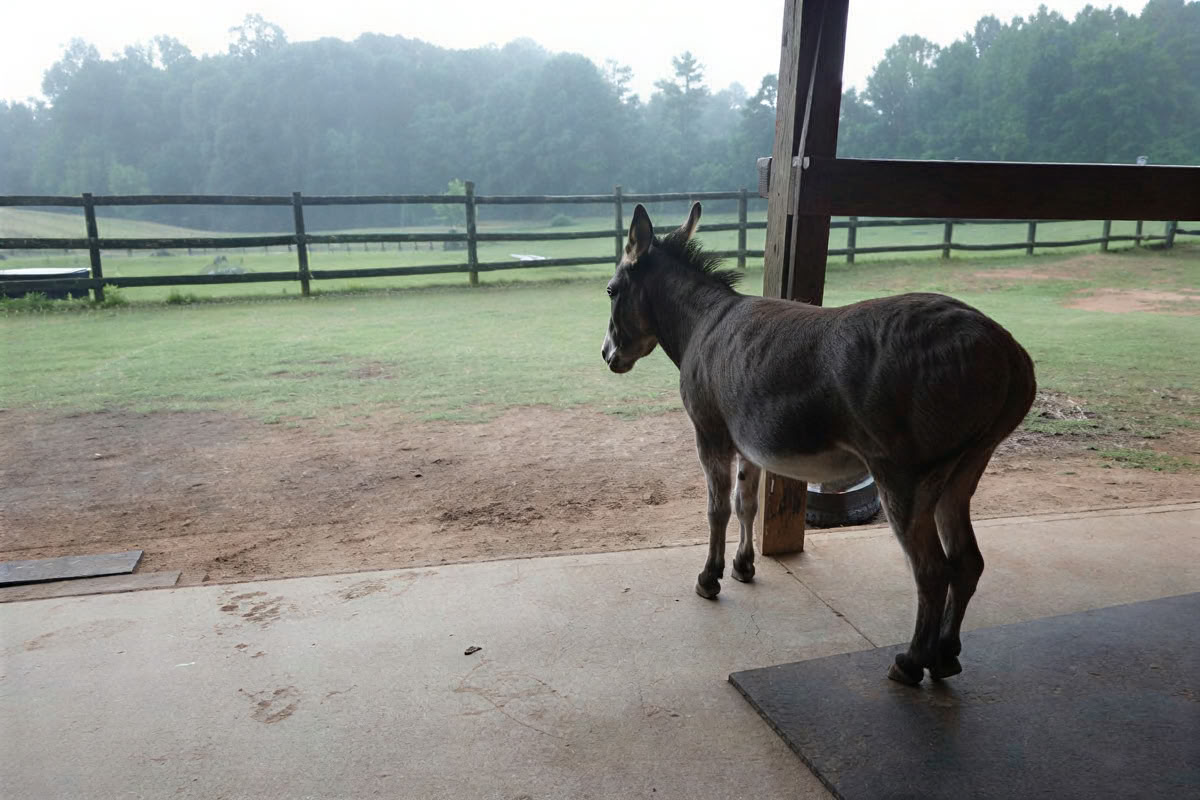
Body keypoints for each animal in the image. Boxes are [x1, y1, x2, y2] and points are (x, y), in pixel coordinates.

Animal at [601, 202, 1036, 685]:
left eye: (610, 290)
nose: (606, 356)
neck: (703, 322)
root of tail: (1006, 349)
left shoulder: (711, 435)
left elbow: (717, 510)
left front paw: (709, 578)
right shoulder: (748, 446)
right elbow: (746, 504)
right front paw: (743, 567)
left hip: (904, 477)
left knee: (932, 571)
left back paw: (910, 662)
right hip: (963, 471)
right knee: (967, 562)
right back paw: (945, 656)